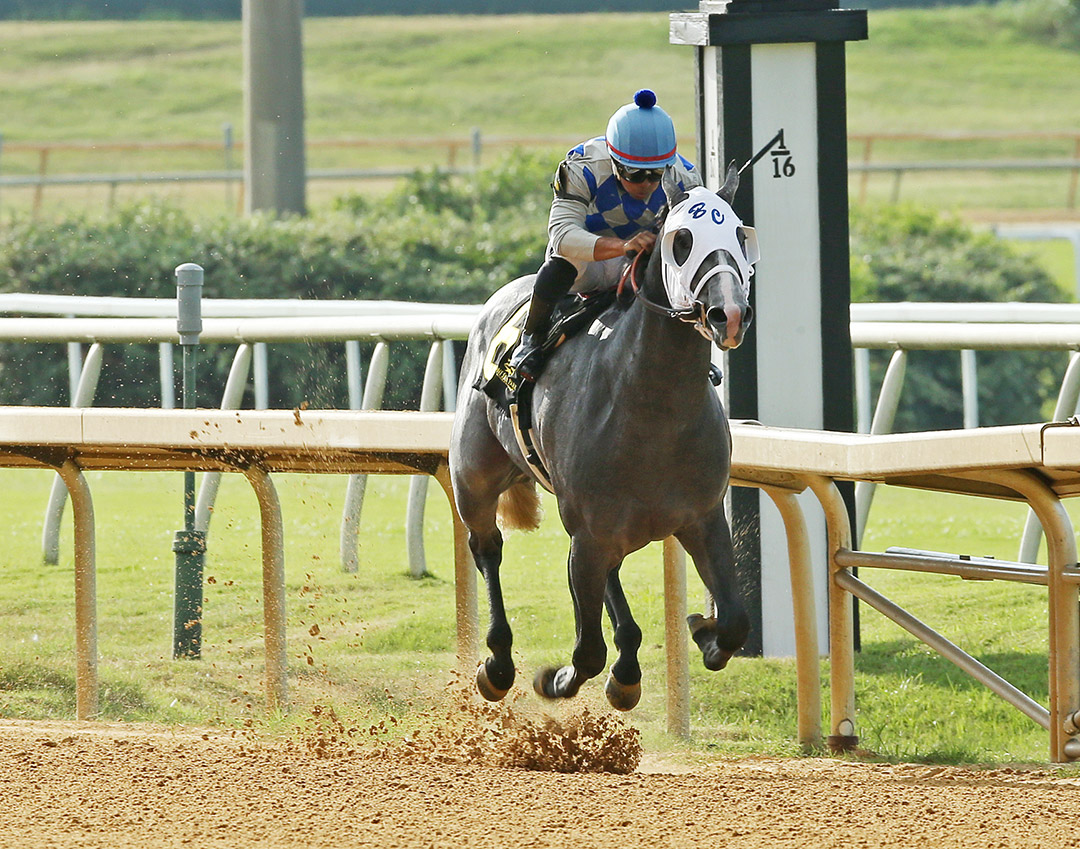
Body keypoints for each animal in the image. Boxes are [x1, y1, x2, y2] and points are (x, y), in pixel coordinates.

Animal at [448, 164, 758, 711]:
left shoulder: (701, 518)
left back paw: (629, 662)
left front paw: (702, 629)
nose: (731, 314)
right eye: (682, 240)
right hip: (475, 478)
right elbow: (587, 652)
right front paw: (554, 680)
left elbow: (736, 622)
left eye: (741, 236)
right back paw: (499, 664)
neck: (653, 410)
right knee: (487, 547)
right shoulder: (589, 534)